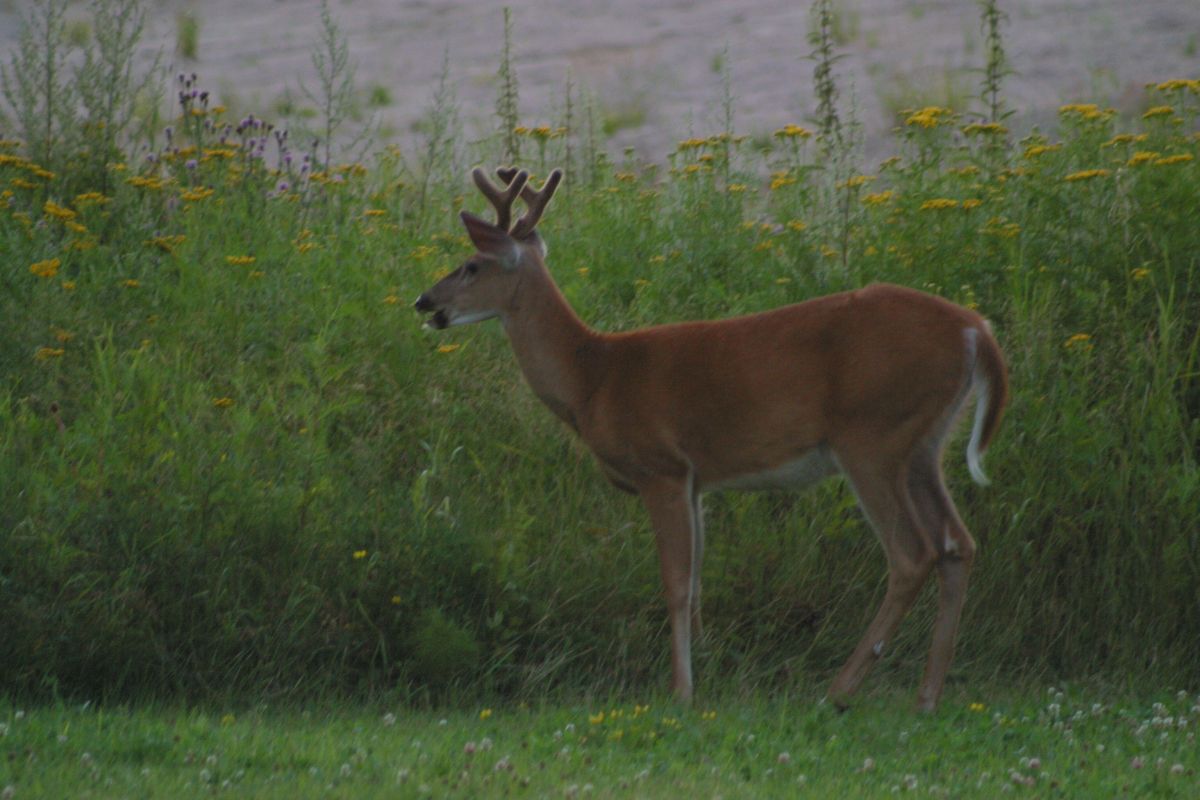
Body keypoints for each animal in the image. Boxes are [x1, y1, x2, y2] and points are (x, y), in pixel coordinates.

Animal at [417, 165, 1008, 710]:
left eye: (471, 265)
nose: (425, 302)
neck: (593, 378)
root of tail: (976, 330)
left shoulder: (661, 467)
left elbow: (675, 583)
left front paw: (681, 690)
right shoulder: (697, 480)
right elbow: (699, 581)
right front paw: (707, 669)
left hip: (872, 435)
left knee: (913, 553)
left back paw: (839, 690)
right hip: (924, 444)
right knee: (959, 543)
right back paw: (927, 695)